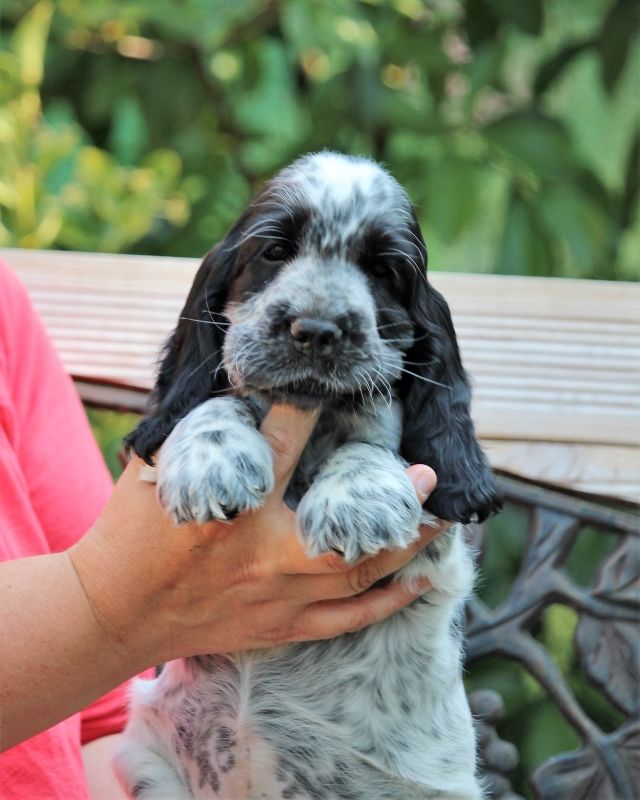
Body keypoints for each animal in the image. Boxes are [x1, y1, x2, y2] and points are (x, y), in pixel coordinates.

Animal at [114, 152, 501, 799]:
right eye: (274, 251)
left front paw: (358, 501)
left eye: (383, 270)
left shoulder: (430, 548)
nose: (317, 330)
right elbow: (212, 402)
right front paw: (208, 462)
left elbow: (375, 446)